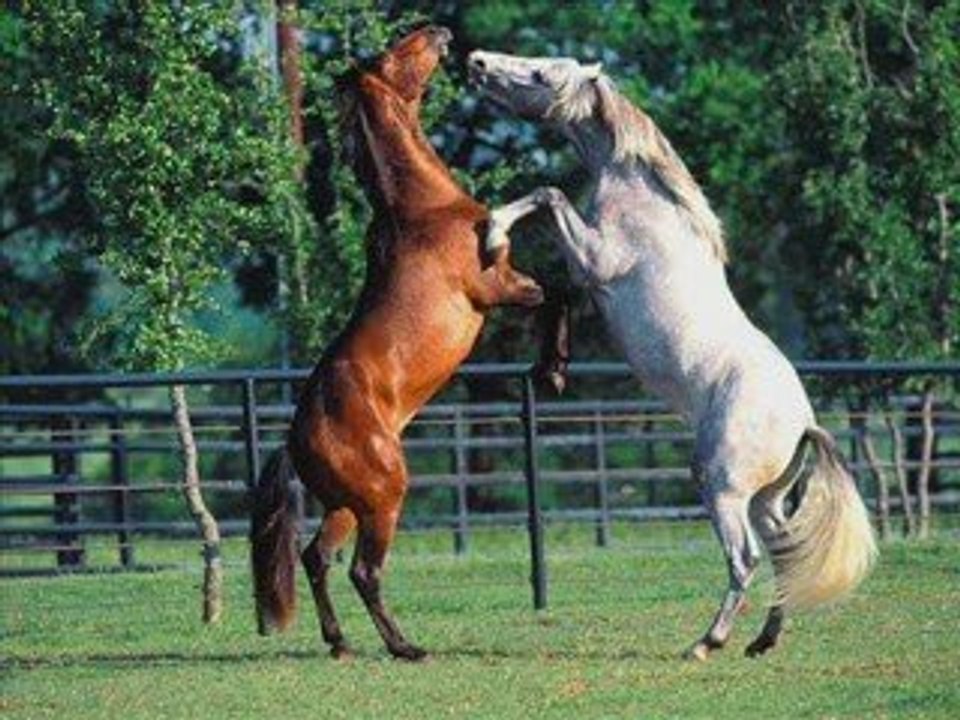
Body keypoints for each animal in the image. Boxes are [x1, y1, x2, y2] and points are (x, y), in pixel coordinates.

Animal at [250, 27, 544, 662]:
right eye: (392, 54)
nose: (438, 31)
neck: (422, 208)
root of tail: (295, 438)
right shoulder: (498, 286)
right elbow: (532, 267)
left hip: (346, 505)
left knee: (316, 558)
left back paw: (341, 644)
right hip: (383, 500)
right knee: (362, 571)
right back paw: (406, 646)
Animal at [468, 50, 877, 660]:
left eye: (540, 74)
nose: (475, 62)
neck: (643, 197)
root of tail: (803, 423)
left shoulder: (596, 257)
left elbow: (548, 194)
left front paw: (493, 231)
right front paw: (552, 362)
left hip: (721, 485)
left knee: (745, 559)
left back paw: (707, 643)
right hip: (765, 499)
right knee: (784, 553)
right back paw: (762, 642)